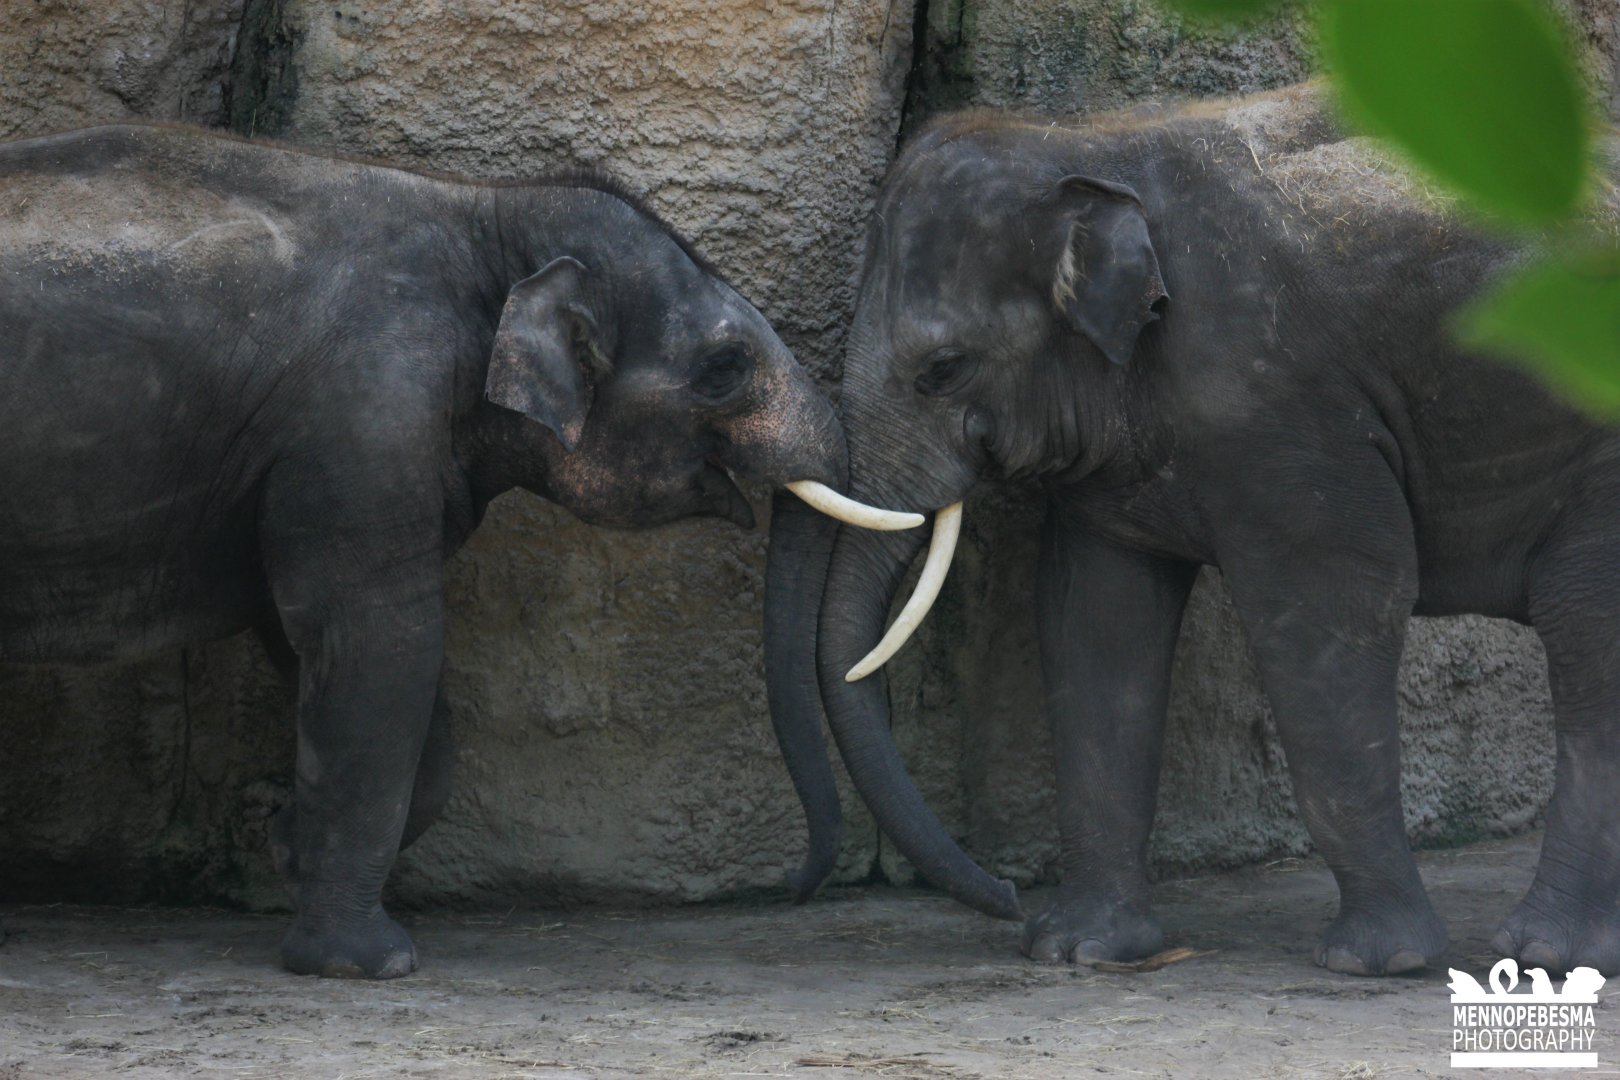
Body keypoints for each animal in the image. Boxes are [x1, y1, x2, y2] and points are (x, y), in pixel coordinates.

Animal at [0, 122, 919, 979]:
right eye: (726, 366)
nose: (795, 887)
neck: (487, 212)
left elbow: (325, 655)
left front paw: (284, 842)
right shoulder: (365, 419)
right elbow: (379, 645)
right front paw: (365, 964)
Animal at [765, 84, 1620, 977]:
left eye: (942, 371)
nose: (1003, 897)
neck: (1090, 148)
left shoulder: (1274, 399)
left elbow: (1336, 607)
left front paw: (1373, 961)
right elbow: (1098, 622)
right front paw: (1081, 951)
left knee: (1586, 635)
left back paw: (1549, 953)